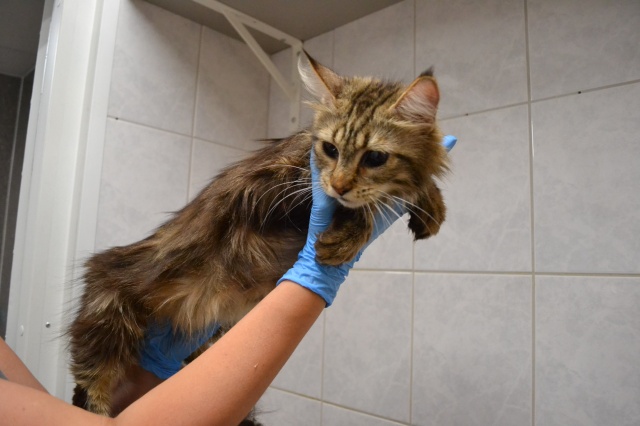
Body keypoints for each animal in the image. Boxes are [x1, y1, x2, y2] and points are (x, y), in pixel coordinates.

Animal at [68, 51, 449, 417]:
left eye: (375, 157)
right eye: (330, 149)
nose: (339, 185)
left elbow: (412, 186)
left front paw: (430, 205)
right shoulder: (270, 187)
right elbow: (355, 206)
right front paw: (345, 235)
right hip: (108, 314)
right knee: (88, 381)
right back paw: (96, 408)